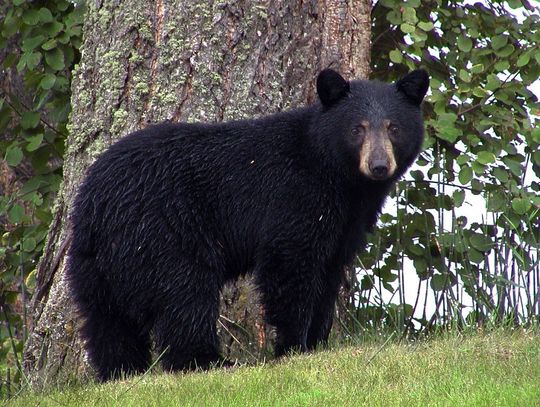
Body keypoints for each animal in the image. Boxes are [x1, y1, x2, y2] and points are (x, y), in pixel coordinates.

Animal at [67, 67, 428, 382]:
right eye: (357, 128)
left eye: (394, 127)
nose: (379, 165)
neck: (339, 177)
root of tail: (96, 202)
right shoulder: (295, 197)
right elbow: (290, 265)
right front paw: (293, 347)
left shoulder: (345, 223)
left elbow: (328, 274)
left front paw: (318, 343)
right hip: (163, 231)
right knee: (184, 295)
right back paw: (208, 361)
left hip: (94, 262)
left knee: (107, 320)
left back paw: (121, 371)